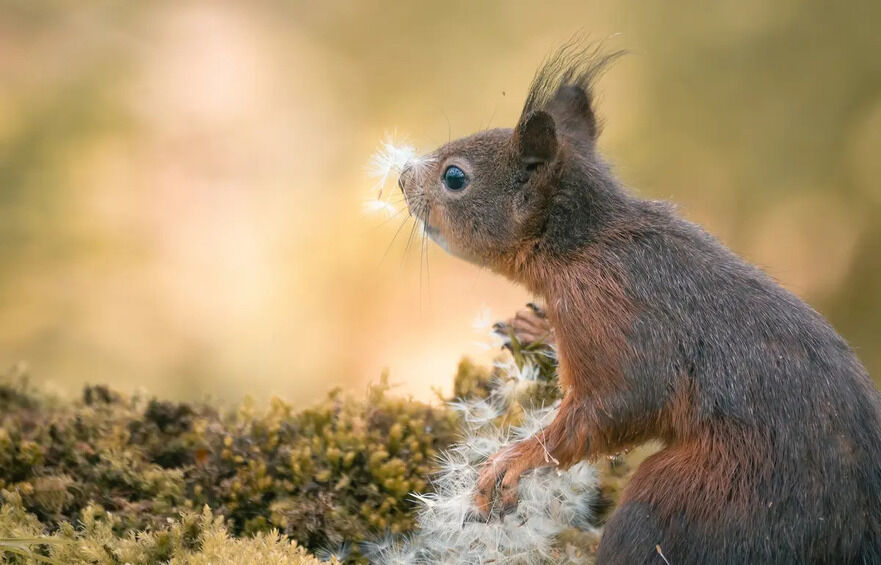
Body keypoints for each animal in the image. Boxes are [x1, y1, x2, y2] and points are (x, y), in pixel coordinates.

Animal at [398, 44, 880, 564]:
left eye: (454, 177)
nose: (401, 177)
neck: (585, 244)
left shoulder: (615, 311)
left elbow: (623, 401)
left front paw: (514, 460)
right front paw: (538, 329)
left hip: (686, 502)